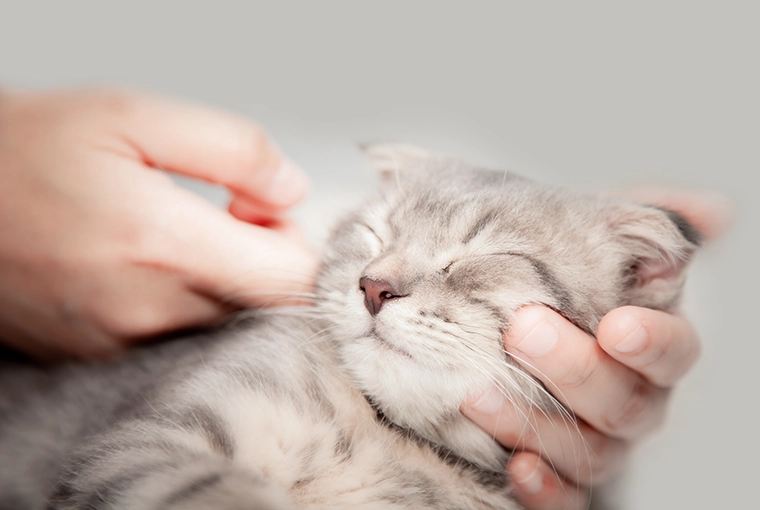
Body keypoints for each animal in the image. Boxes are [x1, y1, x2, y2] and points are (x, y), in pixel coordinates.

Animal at [0, 144, 700, 510]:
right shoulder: (145, 446)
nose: (373, 286)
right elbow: (219, 492)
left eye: (477, 255)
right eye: (373, 233)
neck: (390, 441)